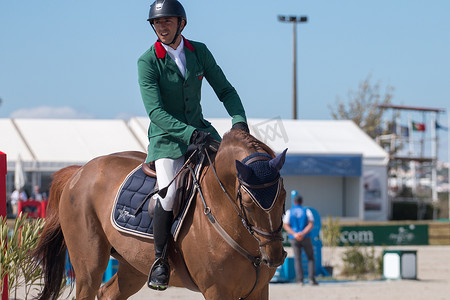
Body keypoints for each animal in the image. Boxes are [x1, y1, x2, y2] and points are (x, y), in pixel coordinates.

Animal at [31, 131, 286, 300]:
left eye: (283, 196)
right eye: (248, 204)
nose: (275, 257)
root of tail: (79, 172)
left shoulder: (259, 291)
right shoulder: (217, 291)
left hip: (133, 265)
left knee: (109, 293)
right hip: (89, 267)